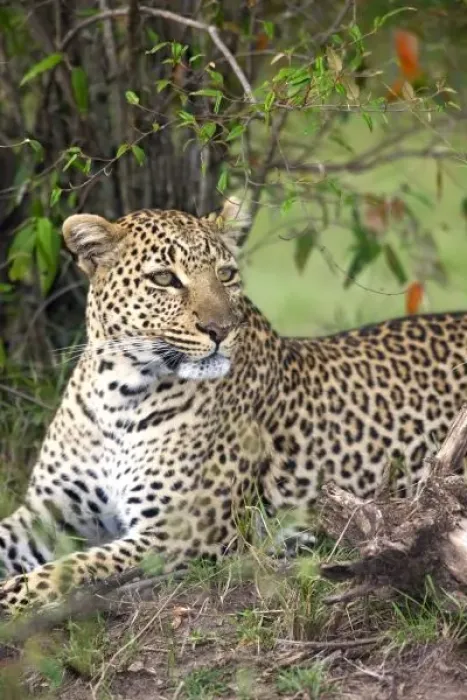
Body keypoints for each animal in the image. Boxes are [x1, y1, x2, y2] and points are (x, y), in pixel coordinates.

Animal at [1, 197, 467, 614]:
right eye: (164, 278)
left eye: (225, 274)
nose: (221, 329)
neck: (119, 393)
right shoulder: (45, 513)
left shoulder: (179, 534)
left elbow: (70, 568)